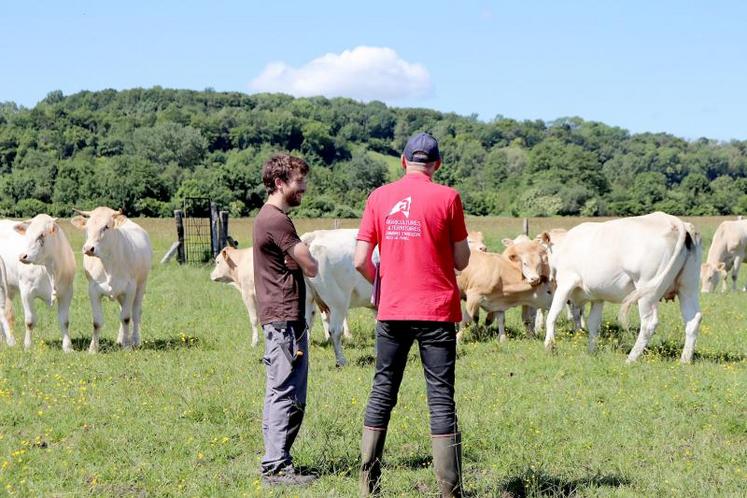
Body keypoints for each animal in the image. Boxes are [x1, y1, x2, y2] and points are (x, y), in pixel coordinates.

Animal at [0, 216, 76, 352]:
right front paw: (27, 346)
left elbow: (64, 321)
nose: (22, 256)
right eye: (27, 234)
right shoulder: (26, 291)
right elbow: (30, 321)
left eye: (41, 235)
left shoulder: (67, 292)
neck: (50, 268)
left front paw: (68, 347)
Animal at [71, 208, 152, 352]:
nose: (88, 249)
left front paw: (127, 346)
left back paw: (135, 340)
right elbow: (97, 322)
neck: (108, 263)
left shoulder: (130, 288)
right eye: (87, 227)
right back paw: (121, 339)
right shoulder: (93, 290)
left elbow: (126, 318)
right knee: (123, 310)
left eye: (106, 227)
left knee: (136, 313)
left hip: (141, 285)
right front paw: (93, 349)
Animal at [544, 212, 700, 364]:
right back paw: (685, 360)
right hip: (688, 288)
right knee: (693, 320)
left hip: (647, 291)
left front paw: (549, 346)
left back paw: (631, 359)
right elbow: (593, 323)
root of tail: (674, 221)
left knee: (649, 323)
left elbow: (553, 314)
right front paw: (591, 351)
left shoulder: (565, 283)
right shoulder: (597, 297)